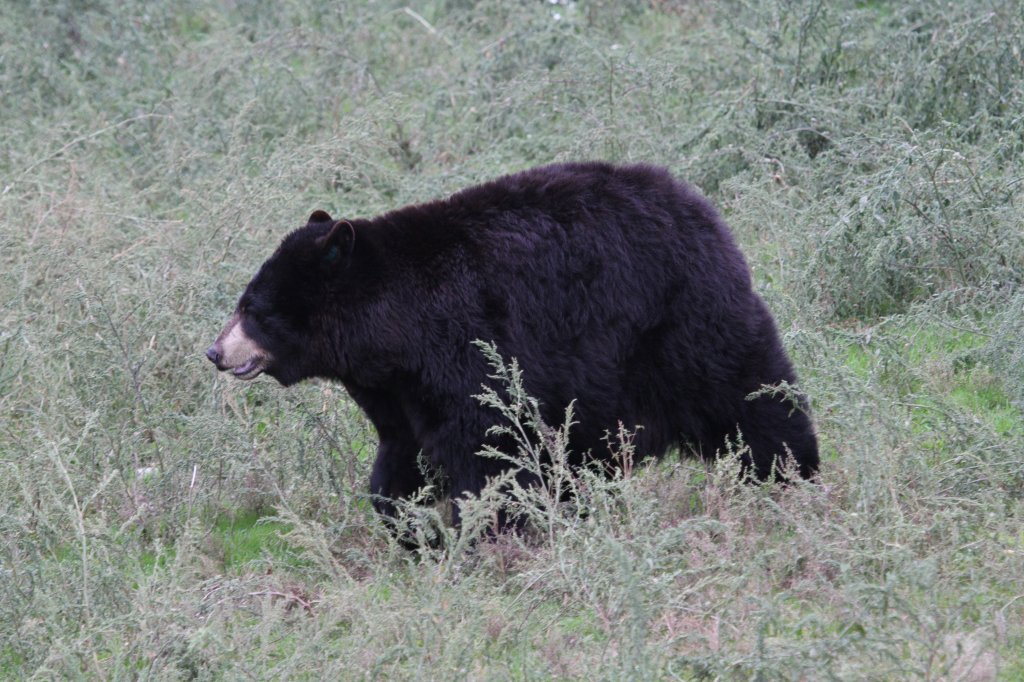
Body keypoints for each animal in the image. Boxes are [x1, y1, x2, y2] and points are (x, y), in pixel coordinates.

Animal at [203, 160, 819, 532]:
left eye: (253, 309)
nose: (215, 352)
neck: (391, 331)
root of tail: (699, 206)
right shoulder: (399, 390)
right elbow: (403, 454)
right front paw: (410, 525)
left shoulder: (467, 349)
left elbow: (488, 443)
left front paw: (486, 529)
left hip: (680, 325)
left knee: (751, 398)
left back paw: (791, 475)